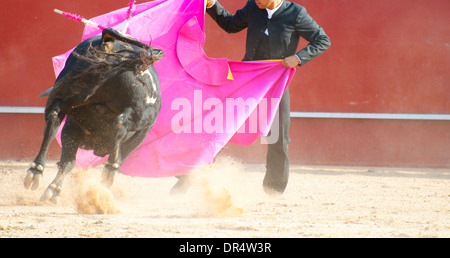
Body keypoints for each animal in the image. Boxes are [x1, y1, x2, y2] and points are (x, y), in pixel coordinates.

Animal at [23, 28, 164, 204]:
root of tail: (110, 45)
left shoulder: (71, 128)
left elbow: (68, 162)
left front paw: (53, 191)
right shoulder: (142, 133)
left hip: (65, 93)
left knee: (53, 117)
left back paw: (36, 171)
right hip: (139, 111)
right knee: (119, 125)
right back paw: (110, 169)